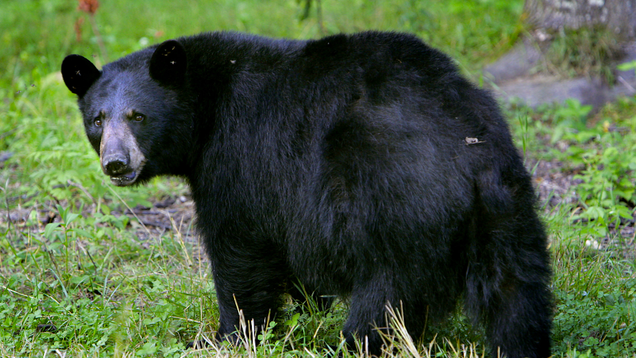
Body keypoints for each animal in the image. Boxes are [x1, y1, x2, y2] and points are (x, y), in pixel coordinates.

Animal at [62, 32, 556, 356]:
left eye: (138, 116)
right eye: (98, 119)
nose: (116, 163)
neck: (206, 106)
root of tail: (464, 150)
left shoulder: (240, 156)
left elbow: (238, 248)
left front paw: (229, 336)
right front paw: (304, 308)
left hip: (397, 204)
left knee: (386, 299)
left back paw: (352, 344)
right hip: (507, 206)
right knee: (517, 292)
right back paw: (520, 345)